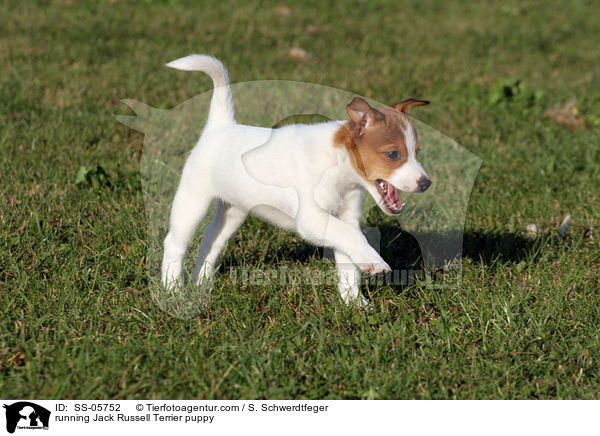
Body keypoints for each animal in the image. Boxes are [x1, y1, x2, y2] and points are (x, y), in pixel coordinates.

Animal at [161, 54, 432, 306]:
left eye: (417, 152)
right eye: (393, 154)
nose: (426, 183)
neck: (338, 167)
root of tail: (219, 127)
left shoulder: (346, 217)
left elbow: (348, 260)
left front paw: (354, 302)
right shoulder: (312, 218)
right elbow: (352, 237)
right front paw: (374, 262)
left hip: (234, 211)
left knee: (212, 239)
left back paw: (201, 283)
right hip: (192, 200)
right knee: (174, 244)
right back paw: (172, 290)